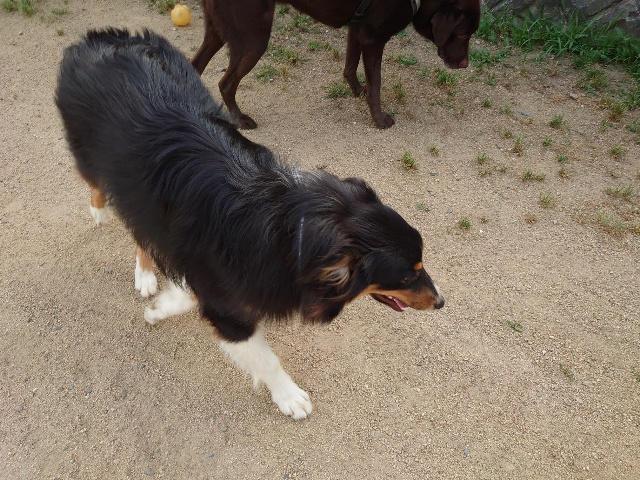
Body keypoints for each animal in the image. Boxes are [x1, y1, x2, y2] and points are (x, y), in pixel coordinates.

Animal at [56, 29, 444, 419]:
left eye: (421, 266)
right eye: (407, 277)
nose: (441, 302)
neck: (294, 233)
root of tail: (100, 38)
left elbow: (187, 291)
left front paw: (162, 307)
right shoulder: (229, 310)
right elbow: (265, 358)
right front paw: (290, 397)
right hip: (100, 161)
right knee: (101, 190)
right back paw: (113, 230)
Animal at [191, 0, 481, 129]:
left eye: (470, 33)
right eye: (462, 34)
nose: (465, 64)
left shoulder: (358, 30)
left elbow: (350, 66)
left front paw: (356, 90)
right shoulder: (374, 38)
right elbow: (376, 86)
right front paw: (380, 120)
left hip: (218, 31)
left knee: (195, 65)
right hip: (254, 38)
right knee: (225, 83)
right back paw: (240, 119)